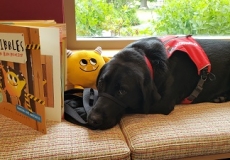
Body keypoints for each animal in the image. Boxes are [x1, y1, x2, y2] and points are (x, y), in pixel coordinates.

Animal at [86, 35, 230, 129]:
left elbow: (136, 106)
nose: (93, 120)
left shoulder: (162, 103)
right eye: (100, 83)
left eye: (122, 91)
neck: (148, 58)